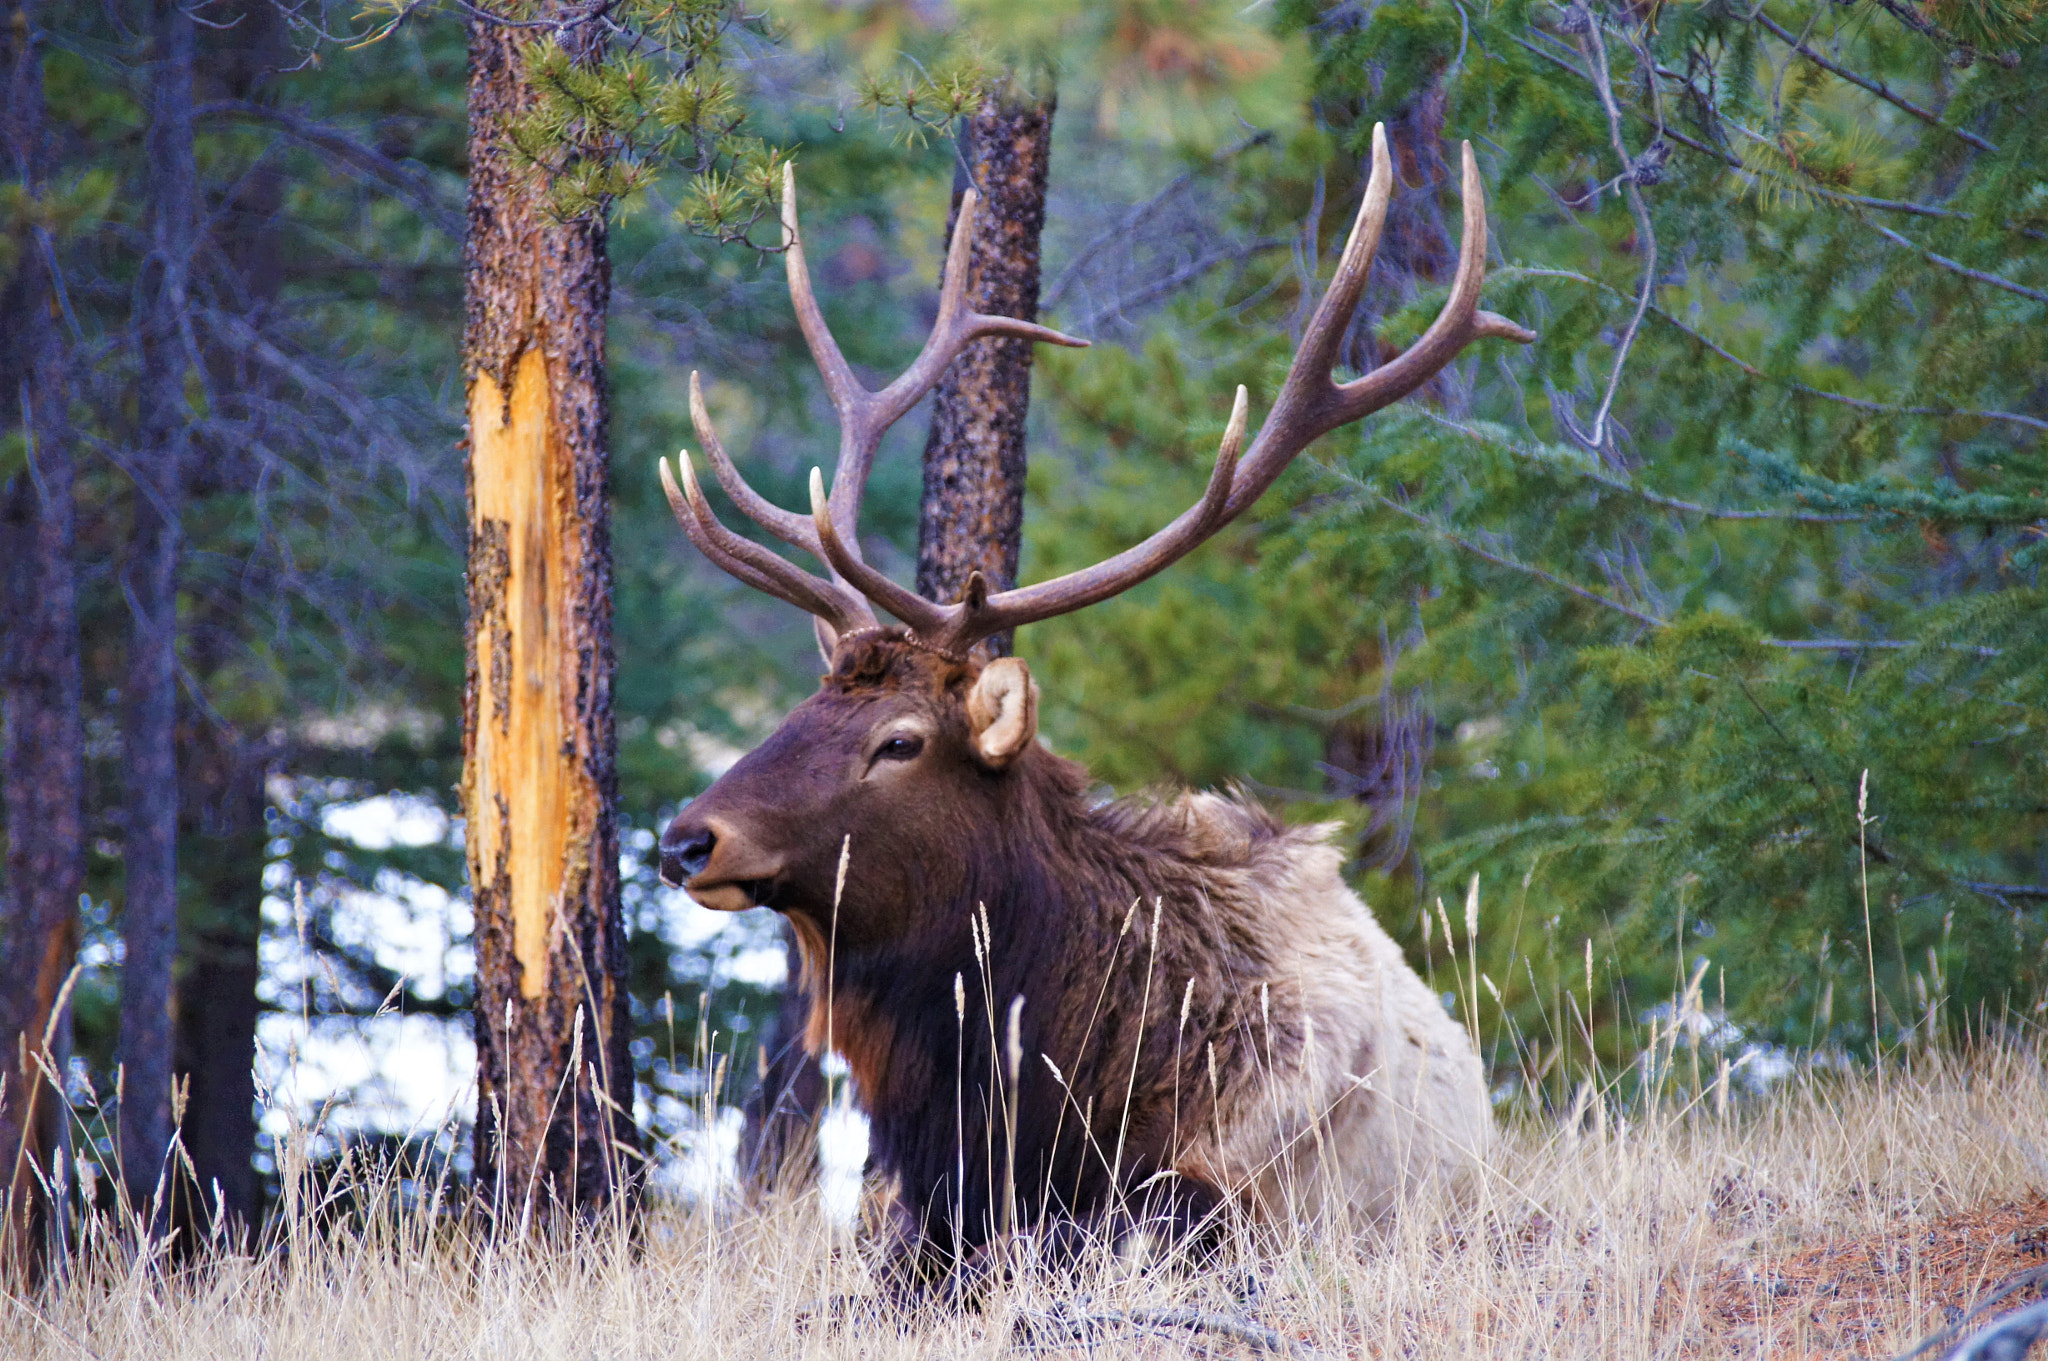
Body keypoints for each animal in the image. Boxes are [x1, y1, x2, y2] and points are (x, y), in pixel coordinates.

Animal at [656, 124, 1534, 1285]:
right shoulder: (920, 1211)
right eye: (803, 706)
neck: (1018, 1094)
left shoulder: (1230, 1190)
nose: (684, 837)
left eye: (899, 740)